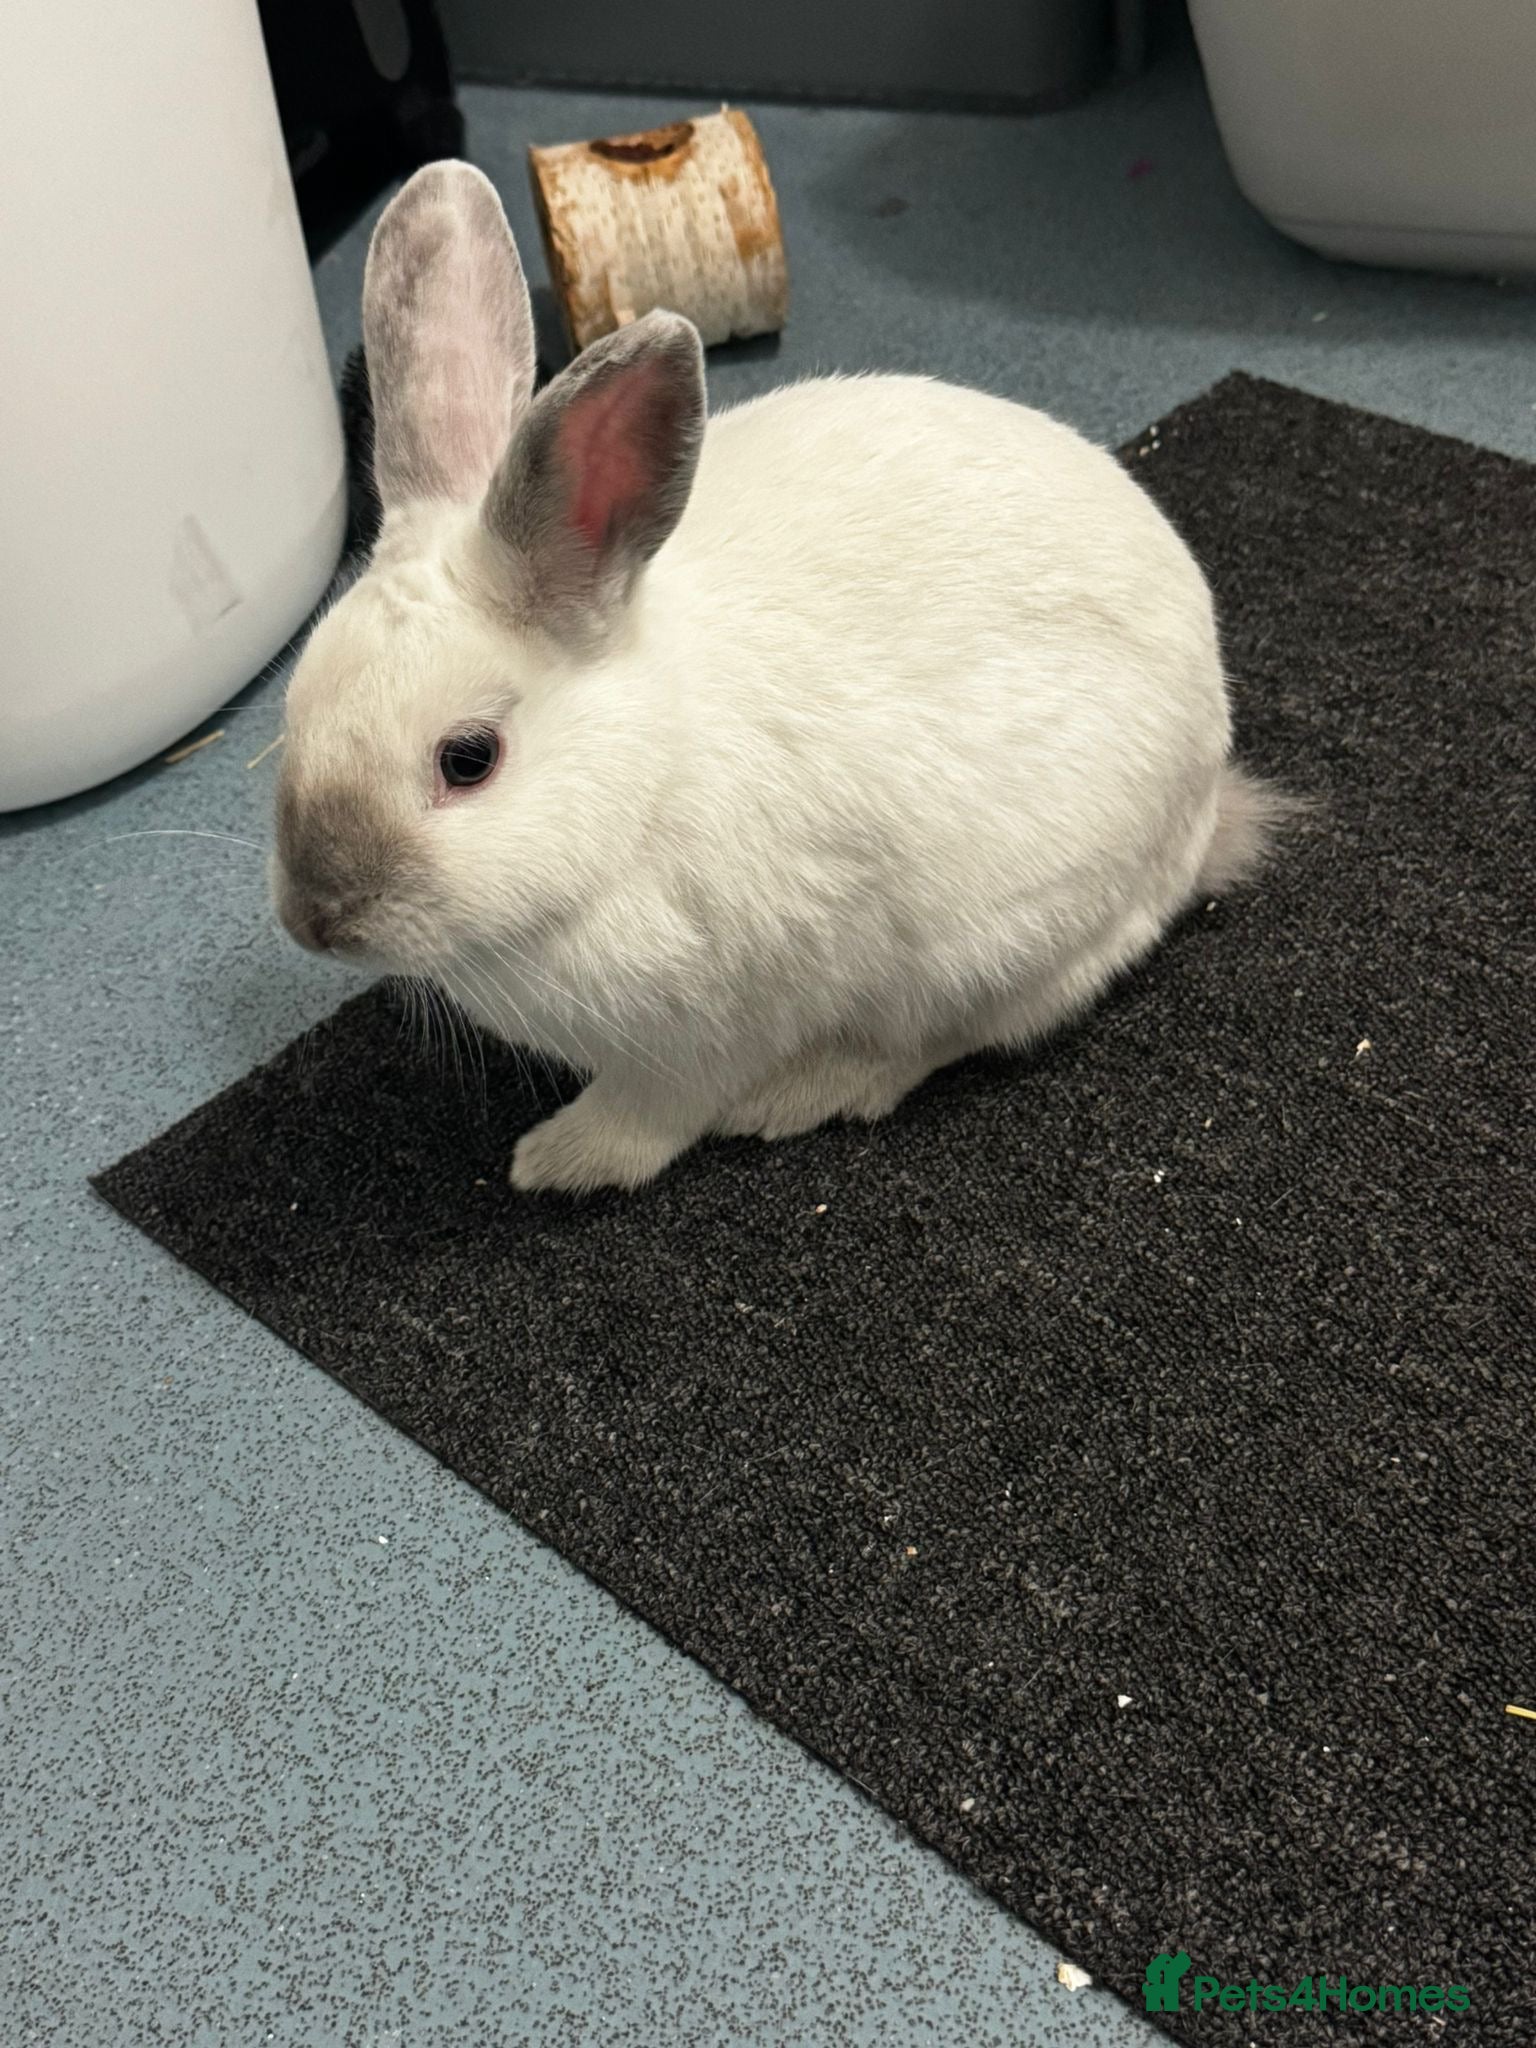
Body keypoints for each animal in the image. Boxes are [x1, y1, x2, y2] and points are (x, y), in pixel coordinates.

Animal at [273, 160, 1287, 1196]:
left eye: (469, 760)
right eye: (291, 714)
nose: (316, 921)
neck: (642, 786)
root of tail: (1210, 798)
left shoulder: (701, 1033)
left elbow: (651, 1117)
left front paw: (558, 1162)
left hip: (1004, 941)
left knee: (948, 1035)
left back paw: (806, 1094)